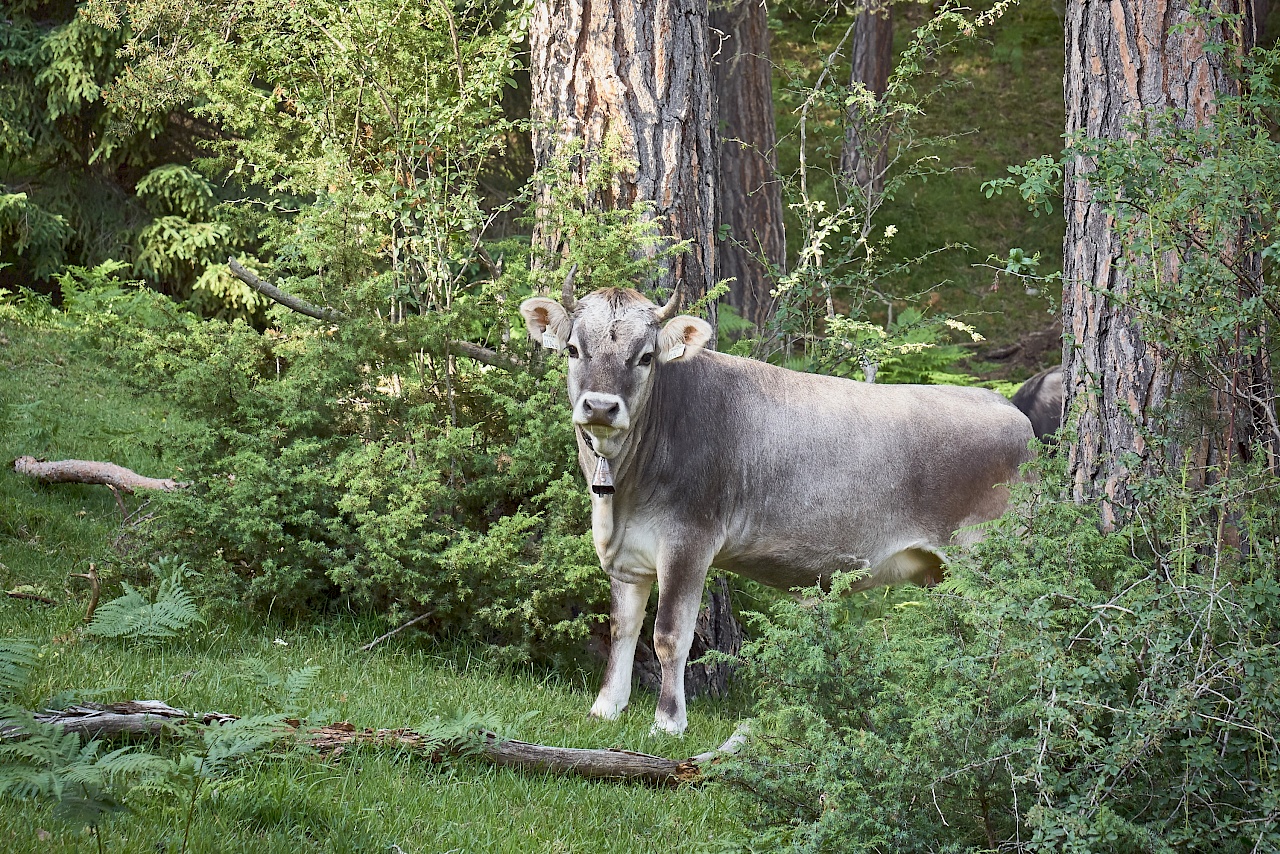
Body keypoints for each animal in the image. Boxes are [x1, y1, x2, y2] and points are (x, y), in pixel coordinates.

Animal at [519, 280, 1029, 737]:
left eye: (645, 357)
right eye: (572, 349)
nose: (601, 407)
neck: (621, 494)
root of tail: (1012, 412)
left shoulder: (688, 542)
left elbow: (669, 636)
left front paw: (667, 722)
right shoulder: (628, 555)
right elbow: (623, 628)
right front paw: (606, 707)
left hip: (986, 562)